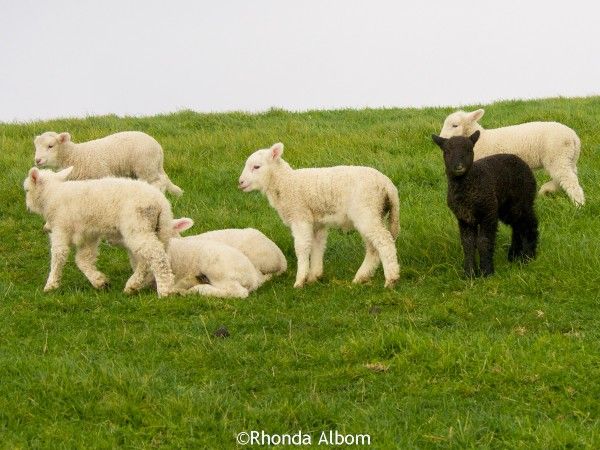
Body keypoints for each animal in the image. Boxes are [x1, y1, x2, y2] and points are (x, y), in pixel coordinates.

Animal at [24, 167, 178, 298]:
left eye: (26, 190)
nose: (27, 207)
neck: (53, 195)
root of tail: (159, 202)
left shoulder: (60, 228)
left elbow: (59, 255)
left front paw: (51, 285)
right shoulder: (88, 235)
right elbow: (83, 259)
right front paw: (99, 281)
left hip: (138, 226)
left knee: (156, 256)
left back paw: (165, 290)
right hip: (161, 229)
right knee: (148, 258)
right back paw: (133, 285)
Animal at [32, 129, 182, 194]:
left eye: (50, 146)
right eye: (36, 146)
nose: (37, 160)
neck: (75, 156)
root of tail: (158, 147)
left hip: (145, 166)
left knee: (159, 182)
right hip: (150, 167)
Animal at [238, 142, 398, 288]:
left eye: (256, 167)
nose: (240, 182)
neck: (285, 183)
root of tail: (388, 185)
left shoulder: (300, 216)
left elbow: (301, 247)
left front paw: (299, 281)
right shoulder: (317, 223)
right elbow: (317, 246)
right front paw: (314, 276)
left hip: (367, 210)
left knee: (384, 241)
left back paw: (391, 279)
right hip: (374, 213)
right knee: (373, 247)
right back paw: (361, 277)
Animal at [432, 131, 540, 278]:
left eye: (469, 149)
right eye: (446, 151)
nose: (459, 166)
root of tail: (521, 161)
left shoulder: (488, 213)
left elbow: (484, 241)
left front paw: (486, 272)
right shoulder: (464, 218)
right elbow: (468, 243)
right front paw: (470, 274)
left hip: (521, 201)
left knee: (529, 224)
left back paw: (528, 256)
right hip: (505, 207)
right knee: (517, 226)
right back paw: (514, 256)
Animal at [438, 108, 584, 207]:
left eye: (455, 125)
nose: (442, 139)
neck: (480, 140)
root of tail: (574, 137)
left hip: (558, 156)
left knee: (569, 180)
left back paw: (578, 204)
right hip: (568, 158)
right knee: (566, 176)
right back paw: (546, 190)